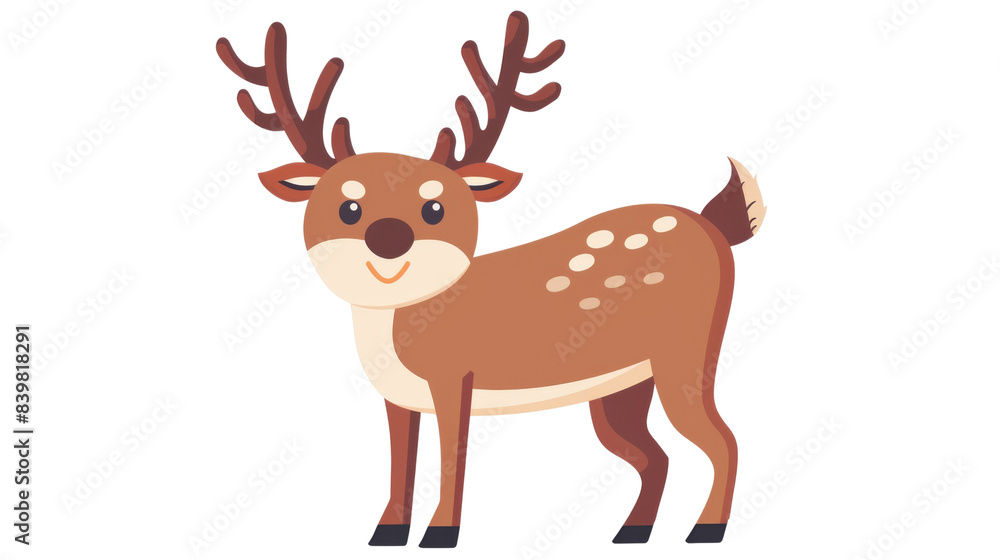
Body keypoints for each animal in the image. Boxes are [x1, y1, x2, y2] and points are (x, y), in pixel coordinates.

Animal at [217, 11, 766, 549]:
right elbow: (400, 463)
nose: (388, 237)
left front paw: (442, 535)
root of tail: (715, 226)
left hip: (685, 354)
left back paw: (707, 531)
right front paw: (386, 534)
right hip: (622, 387)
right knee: (655, 456)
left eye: (435, 208)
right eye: (348, 207)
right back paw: (631, 533)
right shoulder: (398, 396)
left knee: (724, 439)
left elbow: (450, 459)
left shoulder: (454, 376)